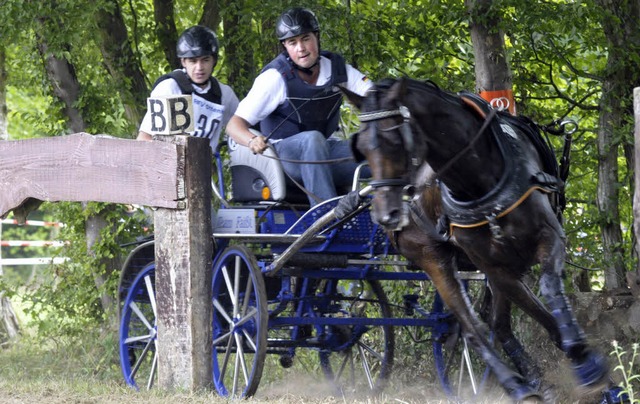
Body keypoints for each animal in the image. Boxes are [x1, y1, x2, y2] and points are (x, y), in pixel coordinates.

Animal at [342, 78, 612, 400]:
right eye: (361, 147)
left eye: (395, 140)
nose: (386, 215)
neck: (476, 178)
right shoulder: (495, 266)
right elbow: (535, 319)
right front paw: (587, 364)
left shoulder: (546, 238)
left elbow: (547, 290)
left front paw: (585, 363)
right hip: (431, 257)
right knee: (471, 326)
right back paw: (515, 384)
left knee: (497, 324)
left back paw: (533, 380)